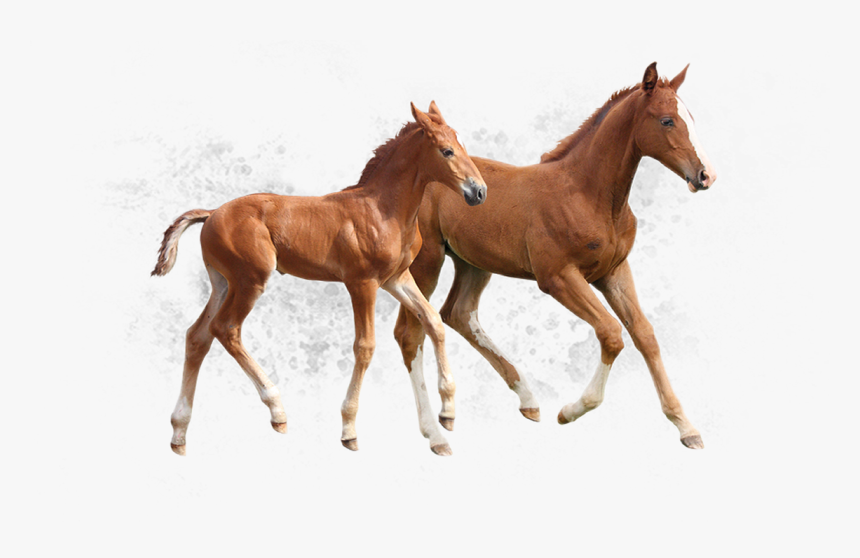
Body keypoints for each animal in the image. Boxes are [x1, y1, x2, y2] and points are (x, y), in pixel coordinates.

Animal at [152, 102, 487, 456]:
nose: (479, 191)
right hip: (250, 281)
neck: (383, 209)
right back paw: (277, 411)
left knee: (197, 336)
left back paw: (179, 433)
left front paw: (447, 413)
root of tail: (212, 212)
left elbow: (434, 322)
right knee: (225, 329)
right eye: (447, 150)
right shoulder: (362, 283)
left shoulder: (397, 279)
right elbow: (365, 346)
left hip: (222, 283)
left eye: (462, 145)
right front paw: (349, 429)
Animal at [394, 63, 717, 449]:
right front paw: (571, 410)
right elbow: (611, 333)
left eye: (692, 117)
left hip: (474, 263)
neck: (588, 194)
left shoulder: (614, 272)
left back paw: (525, 399)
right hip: (426, 262)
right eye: (667, 120)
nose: (705, 175)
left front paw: (686, 426)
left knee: (458, 314)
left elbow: (645, 335)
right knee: (411, 332)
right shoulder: (558, 277)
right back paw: (436, 428)